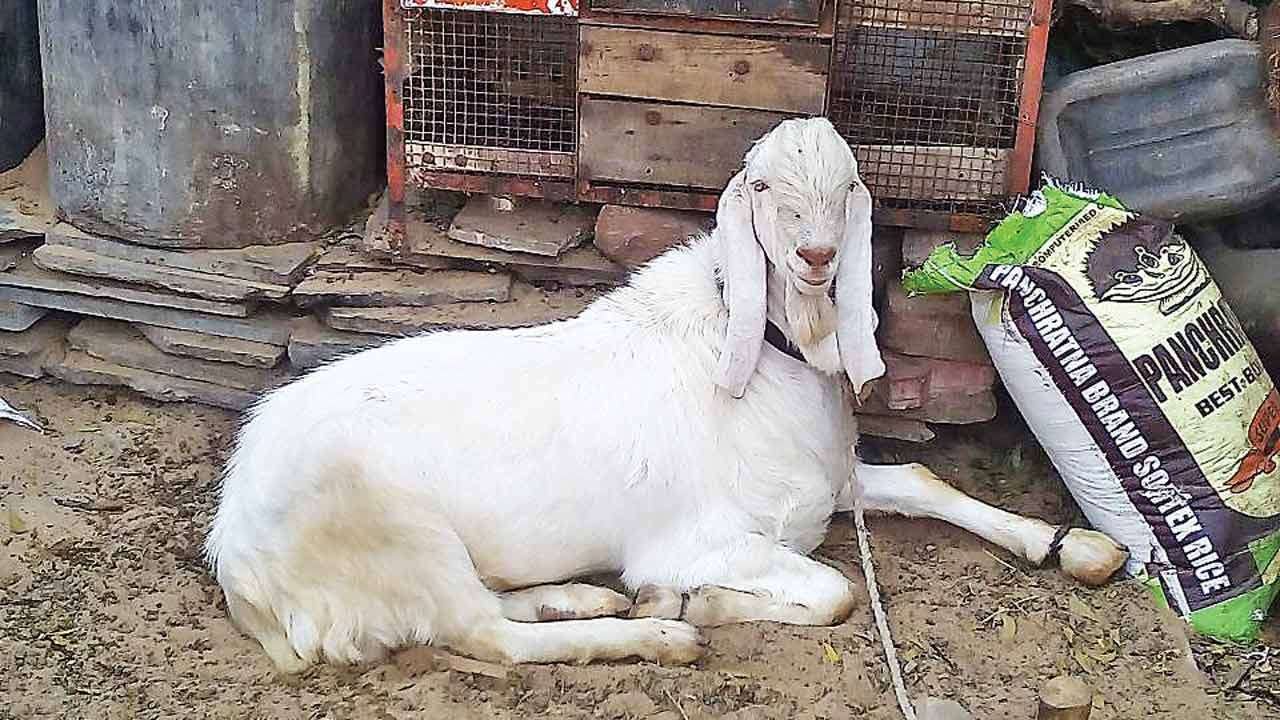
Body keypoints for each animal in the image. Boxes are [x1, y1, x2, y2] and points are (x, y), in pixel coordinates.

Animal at [205, 118, 1128, 671]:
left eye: (851, 186)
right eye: (762, 187)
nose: (818, 257)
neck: (766, 359)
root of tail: (237, 555)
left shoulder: (824, 485)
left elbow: (926, 481)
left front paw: (1075, 546)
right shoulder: (700, 536)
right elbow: (834, 593)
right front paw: (692, 601)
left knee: (494, 608)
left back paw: (581, 595)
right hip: (396, 532)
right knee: (485, 635)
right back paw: (656, 629)